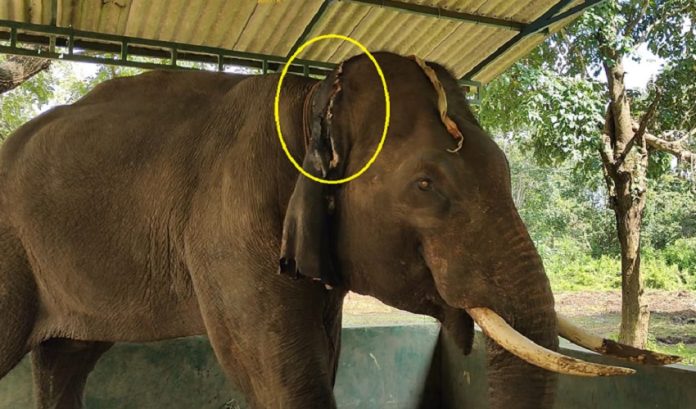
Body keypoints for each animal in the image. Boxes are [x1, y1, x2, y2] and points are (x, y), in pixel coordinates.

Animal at [0, 51, 678, 409]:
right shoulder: (227, 233)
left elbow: (324, 359)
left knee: (64, 361)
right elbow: (283, 373)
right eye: (425, 186)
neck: (308, 99)